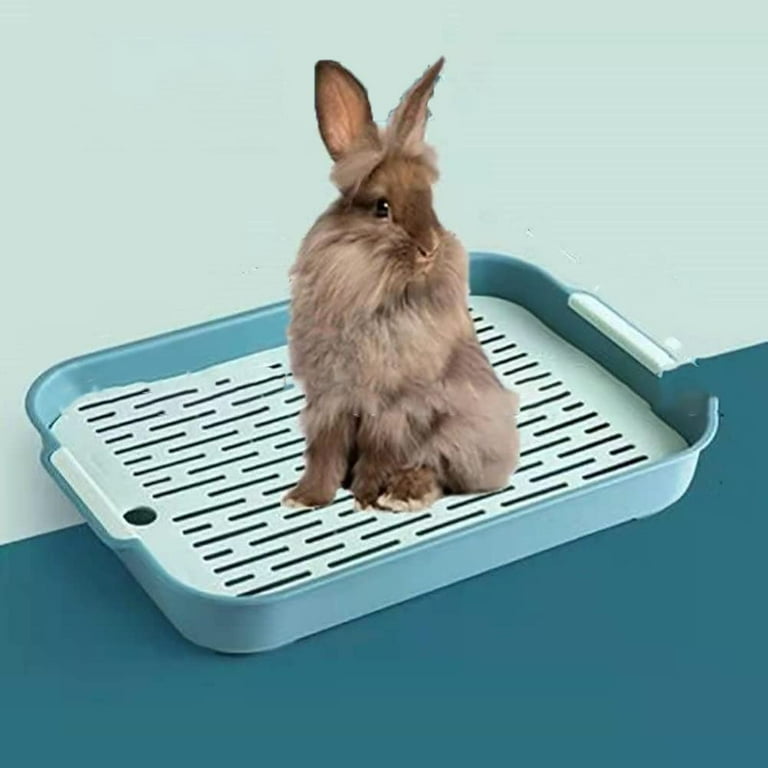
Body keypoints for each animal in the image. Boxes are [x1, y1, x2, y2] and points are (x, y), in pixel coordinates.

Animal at [282, 56, 519, 513]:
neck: (378, 296)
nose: (430, 249)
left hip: (458, 432)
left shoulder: (396, 409)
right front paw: (306, 498)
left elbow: (379, 455)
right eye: (382, 207)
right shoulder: (330, 402)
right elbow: (324, 453)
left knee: (440, 471)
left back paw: (403, 494)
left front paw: (366, 497)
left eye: (430, 201)